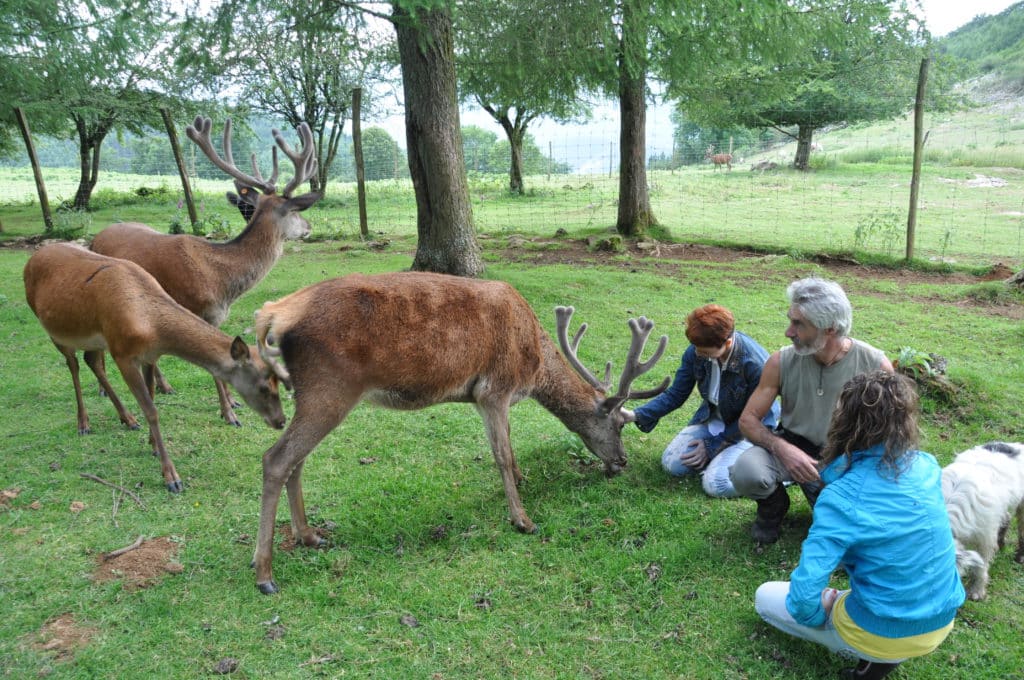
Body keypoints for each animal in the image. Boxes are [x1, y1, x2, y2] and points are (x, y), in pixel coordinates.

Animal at [24, 241, 288, 491]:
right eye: (264, 387)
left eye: (279, 381)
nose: (281, 421)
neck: (150, 327)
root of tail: (30, 260)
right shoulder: (122, 354)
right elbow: (151, 410)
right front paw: (171, 477)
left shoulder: (148, 356)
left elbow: (150, 396)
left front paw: (152, 444)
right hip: (54, 330)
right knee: (73, 365)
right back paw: (84, 423)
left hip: (95, 339)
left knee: (92, 361)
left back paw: (127, 418)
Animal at [91, 115, 319, 426]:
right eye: (296, 211)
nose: (309, 227)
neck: (222, 281)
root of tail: (94, 237)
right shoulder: (201, 311)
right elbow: (215, 367)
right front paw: (228, 413)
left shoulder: (218, 316)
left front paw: (233, 401)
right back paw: (105, 392)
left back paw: (163, 385)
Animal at [243, 274, 667, 593]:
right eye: (619, 423)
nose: (622, 461)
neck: (533, 364)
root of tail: (273, 314)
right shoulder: (494, 388)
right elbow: (501, 454)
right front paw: (522, 520)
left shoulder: (487, 398)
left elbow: (508, 441)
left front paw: (520, 480)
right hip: (329, 386)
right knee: (276, 458)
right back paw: (265, 574)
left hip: (313, 394)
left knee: (297, 460)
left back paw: (309, 536)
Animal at [942, 444, 1024, 602]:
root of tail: (1018, 446)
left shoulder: (985, 539)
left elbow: (981, 566)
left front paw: (976, 591)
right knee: (1006, 517)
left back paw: (1020, 556)